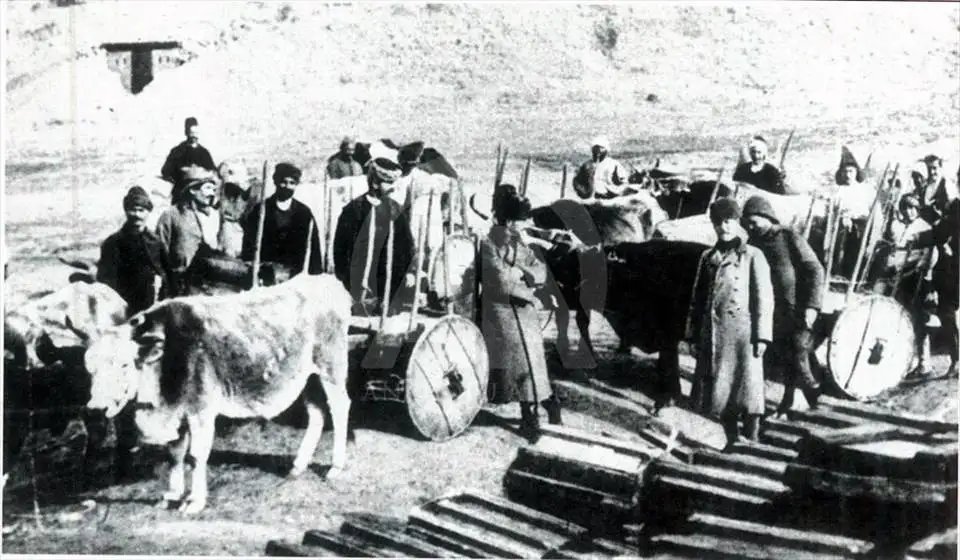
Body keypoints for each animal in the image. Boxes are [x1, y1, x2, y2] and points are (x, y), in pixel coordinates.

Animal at [80, 273, 351, 514]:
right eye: (89, 368)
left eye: (124, 364)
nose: (95, 409)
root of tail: (327, 280)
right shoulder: (179, 410)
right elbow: (175, 455)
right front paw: (171, 496)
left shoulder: (200, 409)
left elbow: (196, 455)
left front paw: (194, 502)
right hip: (308, 377)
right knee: (317, 413)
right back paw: (298, 465)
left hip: (331, 366)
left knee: (339, 408)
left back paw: (336, 466)